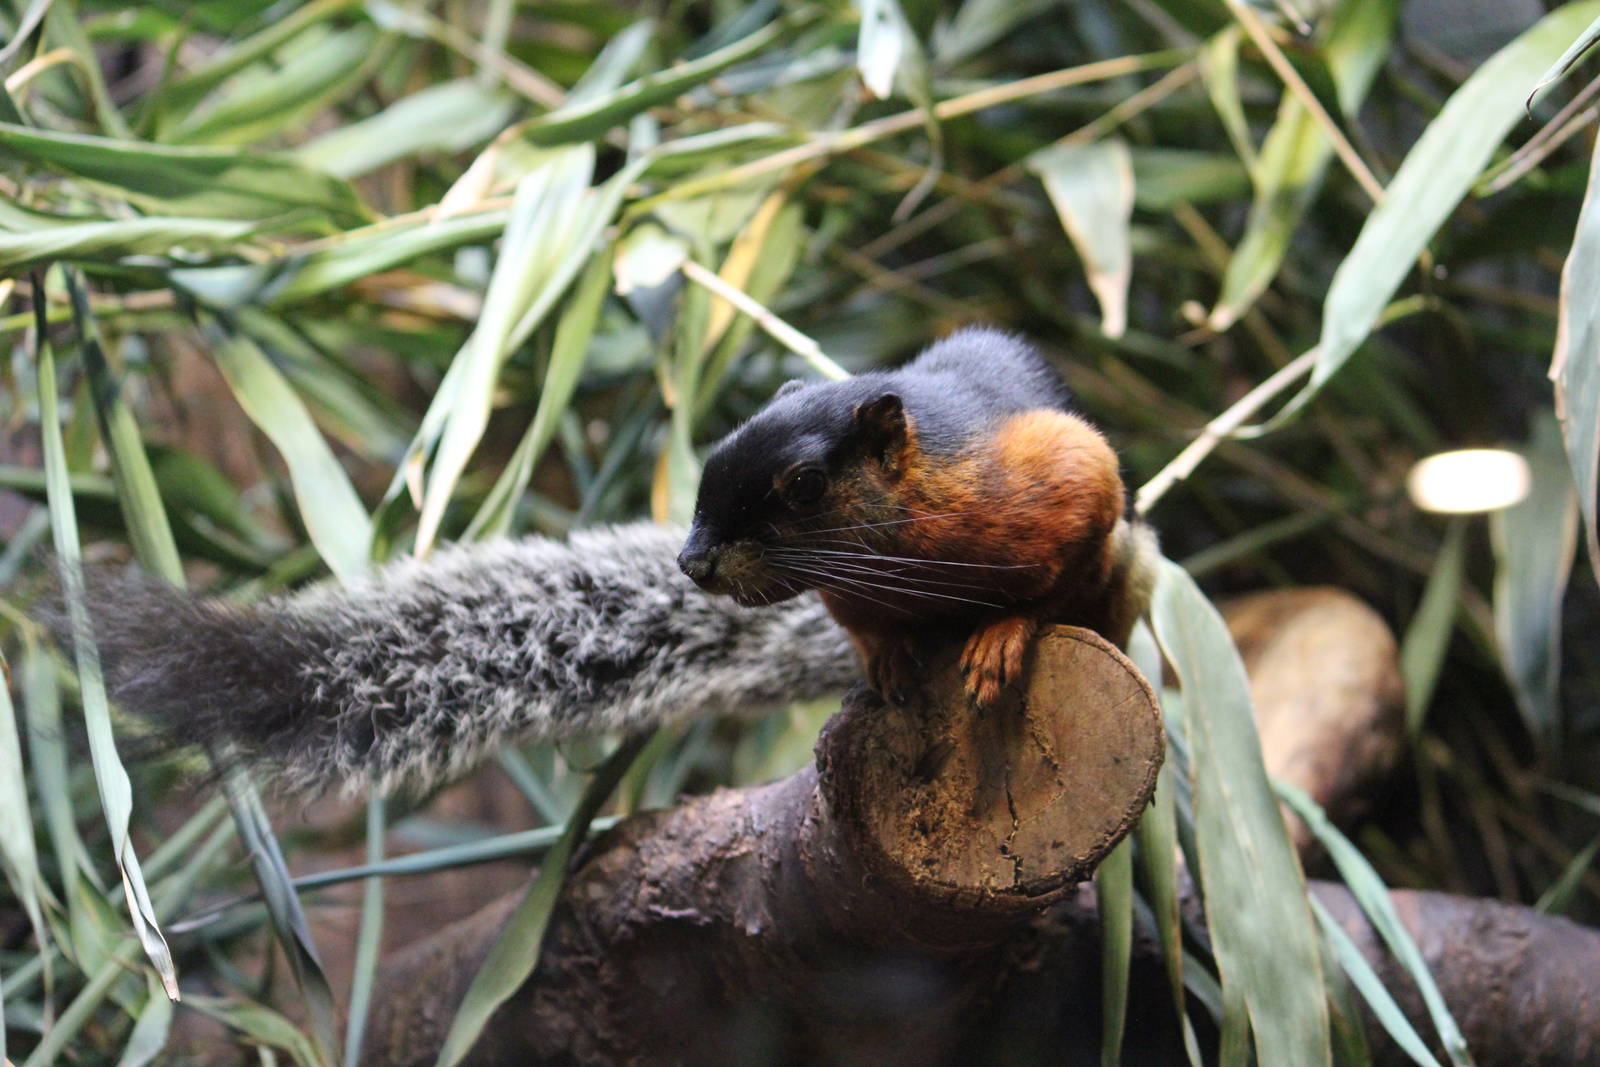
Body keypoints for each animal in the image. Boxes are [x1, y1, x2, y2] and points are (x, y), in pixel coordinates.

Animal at [678, 326, 1158, 709]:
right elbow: (876, 634)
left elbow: (1055, 591)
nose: (692, 563)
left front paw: (1001, 636)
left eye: (807, 483)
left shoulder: (1083, 474)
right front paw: (891, 657)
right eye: (712, 459)